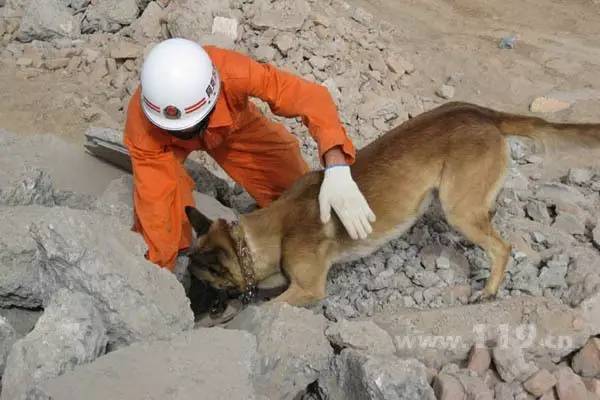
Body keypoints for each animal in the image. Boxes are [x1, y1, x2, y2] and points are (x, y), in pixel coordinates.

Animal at [185, 101, 596, 306]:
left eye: (202, 282)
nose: (192, 308)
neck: (270, 232)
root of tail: (483, 114)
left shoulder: (307, 290)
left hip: (458, 210)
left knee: (502, 246)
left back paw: (490, 291)